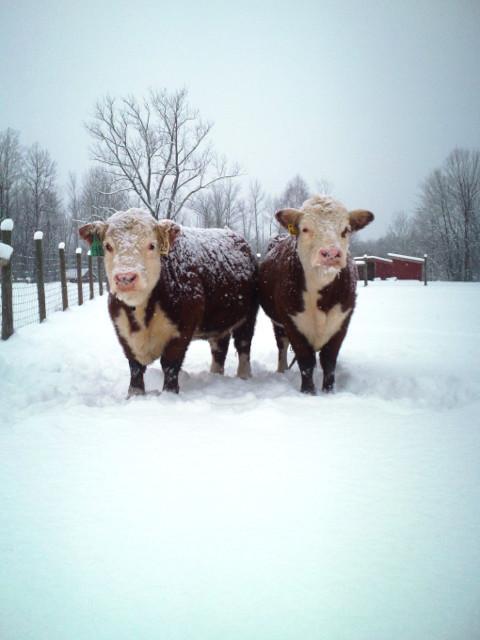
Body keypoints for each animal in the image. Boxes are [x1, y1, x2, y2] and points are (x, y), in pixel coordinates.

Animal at [79, 208, 258, 395]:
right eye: (108, 246)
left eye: (152, 245)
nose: (125, 278)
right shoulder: (122, 330)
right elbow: (135, 366)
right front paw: (135, 394)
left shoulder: (182, 328)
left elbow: (170, 364)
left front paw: (169, 394)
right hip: (219, 322)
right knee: (219, 349)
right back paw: (215, 376)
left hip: (248, 315)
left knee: (243, 345)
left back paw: (244, 376)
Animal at [259, 195, 374, 394]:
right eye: (305, 229)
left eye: (346, 230)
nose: (331, 254)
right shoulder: (292, 322)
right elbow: (306, 361)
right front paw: (308, 392)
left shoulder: (342, 322)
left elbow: (329, 360)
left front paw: (329, 392)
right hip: (278, 323)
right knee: (282, 347)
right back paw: (282, 371)